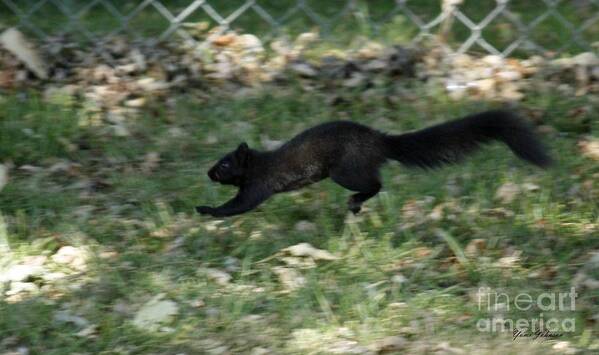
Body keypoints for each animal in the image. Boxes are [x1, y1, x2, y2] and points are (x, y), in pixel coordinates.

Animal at [197, 110, 552, 218]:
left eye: (224, 165)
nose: (208, 172)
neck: (258, 163)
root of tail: (380, 141)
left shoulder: (258, 185)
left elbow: (238, 206)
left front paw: (205, 210)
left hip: (345, 171)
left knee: (375, 184)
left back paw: (355, 202)